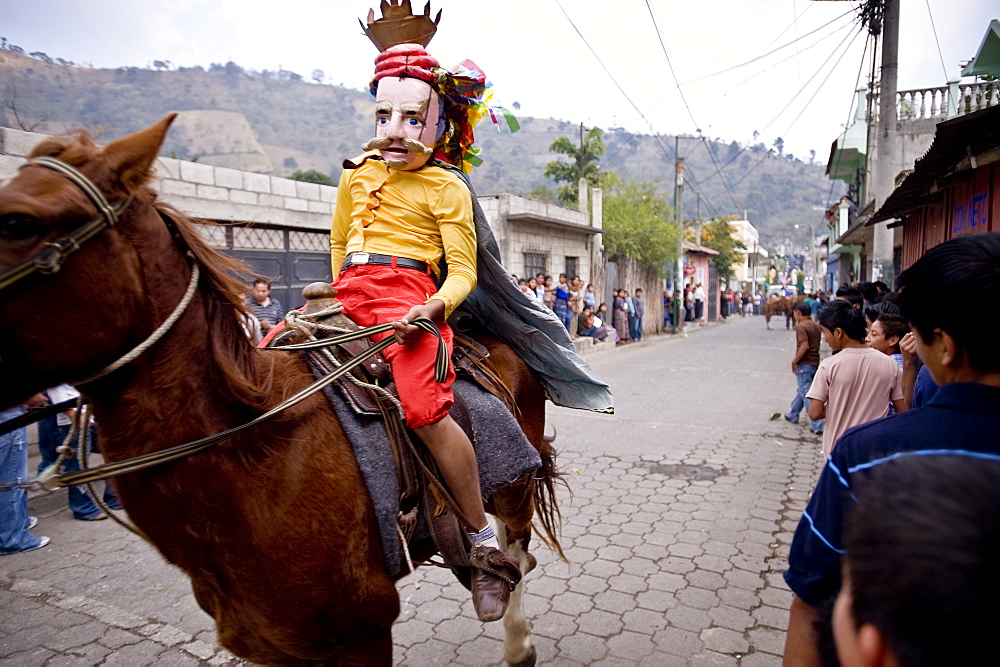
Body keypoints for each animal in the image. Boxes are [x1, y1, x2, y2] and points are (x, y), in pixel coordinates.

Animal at [0, 116, 556, 667]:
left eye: (18, 223)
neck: (255, 449)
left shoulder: (364, 628)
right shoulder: (277, 641)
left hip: (514, 484)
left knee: (515, 545)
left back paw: (507, 618)